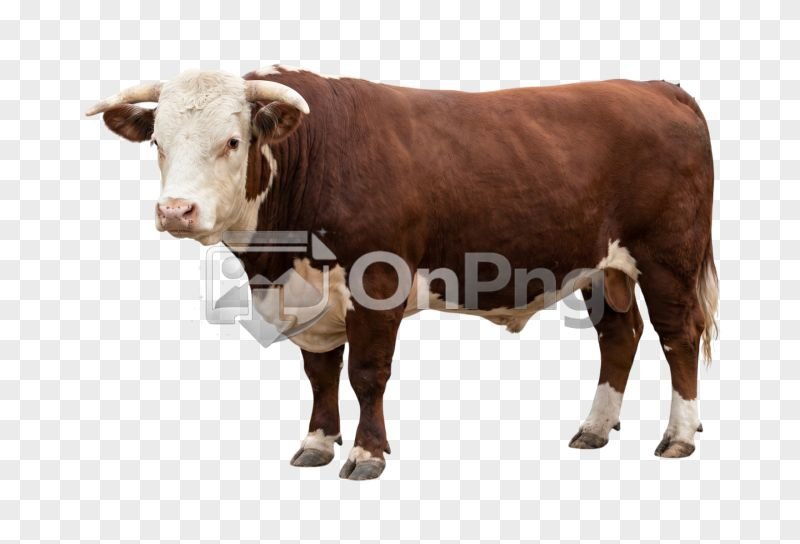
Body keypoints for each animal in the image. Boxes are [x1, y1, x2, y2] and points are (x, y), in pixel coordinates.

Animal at [86, 66, 718, 480]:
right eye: (159, 142)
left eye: (233, 140)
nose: (176, 211)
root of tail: (655, 88)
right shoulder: (310, 299)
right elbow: (320, 373)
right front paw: (317, 443)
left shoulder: (376, 285)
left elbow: (367, 374)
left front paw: (367, 454)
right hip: (601, 267)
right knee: (619, 334)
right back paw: (594, 428)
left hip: (667, 256)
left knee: (677, 336)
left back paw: (678, 437)